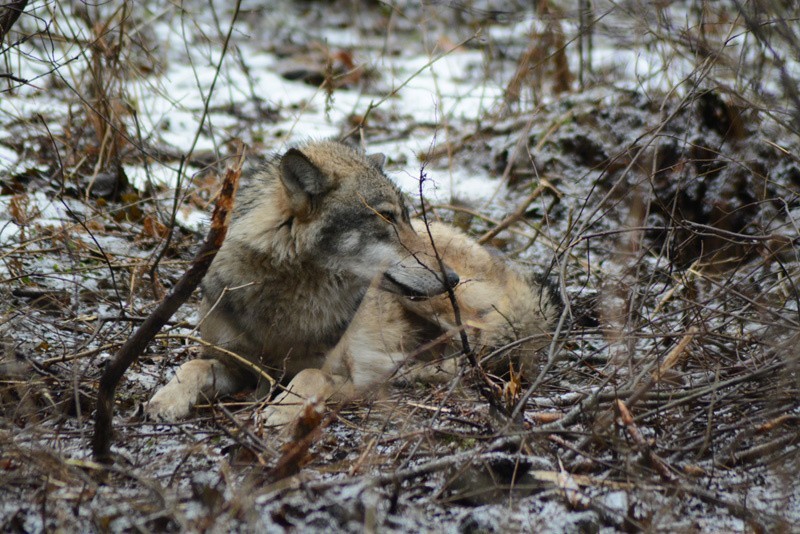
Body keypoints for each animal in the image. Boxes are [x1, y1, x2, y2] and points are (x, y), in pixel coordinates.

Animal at [145, 140, 564, 426]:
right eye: (387, 217)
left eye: (407, 218)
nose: (452, 278)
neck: (285, 300)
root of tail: (508, 268)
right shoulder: (237, 363)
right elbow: (193, 365)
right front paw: (166, 400)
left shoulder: (338, 370)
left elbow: (309, 375)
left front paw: (282, 411)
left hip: (443, 309)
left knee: (483, 345)